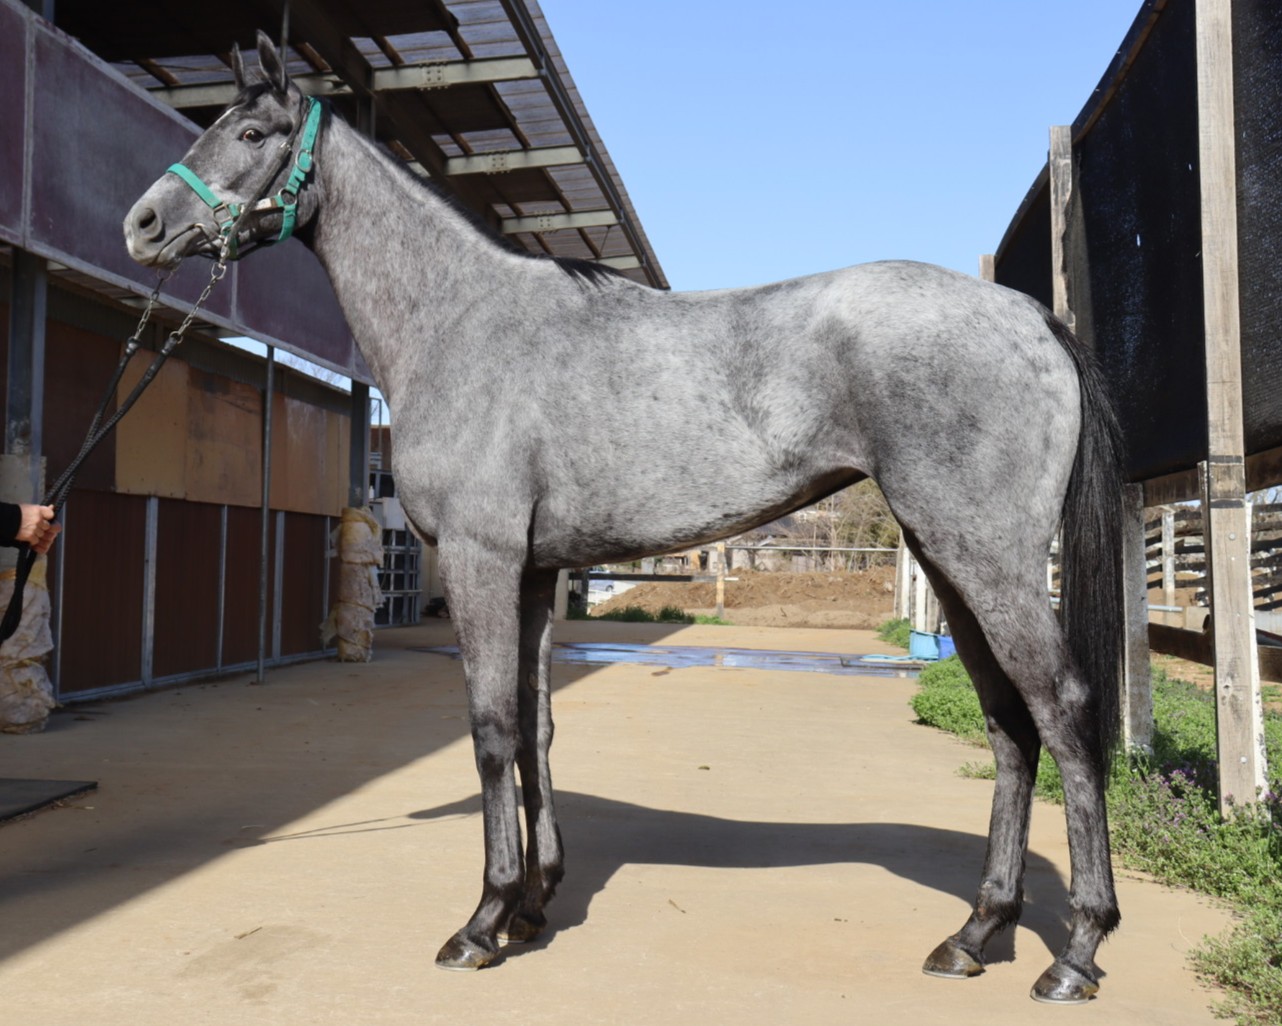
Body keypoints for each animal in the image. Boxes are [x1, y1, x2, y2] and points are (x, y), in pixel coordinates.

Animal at [124, 33, 1125, 1005]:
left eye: (251, 135)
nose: (142, 225)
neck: (460, 321)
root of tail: (1029, 316)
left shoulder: (483, 562)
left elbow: (490, 730)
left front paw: (482, 922)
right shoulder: (534, 574)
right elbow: (534, 728)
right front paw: (533, 906)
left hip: (985, 556)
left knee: (1064, 708)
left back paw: (1075, 951)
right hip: (949, 558)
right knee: (1009, 722)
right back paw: (975, 934)